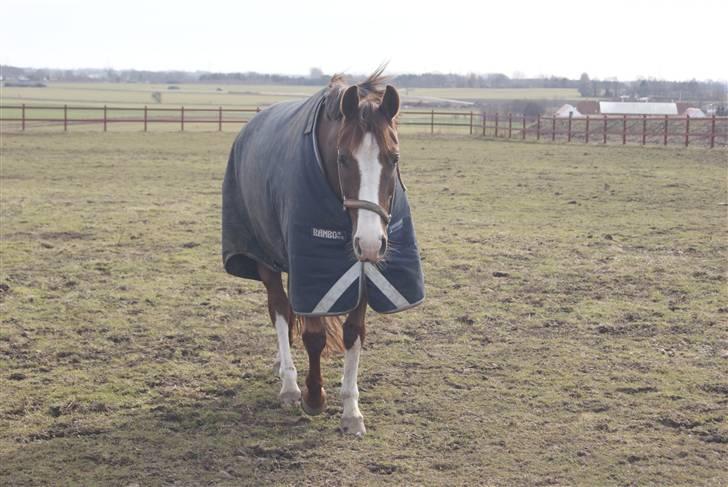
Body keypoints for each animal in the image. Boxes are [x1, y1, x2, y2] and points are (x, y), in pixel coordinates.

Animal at [222, 68, 424, 435]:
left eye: (394, 158)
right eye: (343, 158)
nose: (371, 242)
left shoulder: (360, 271)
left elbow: (353, 334)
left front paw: (352, 411)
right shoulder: (314, 270)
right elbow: (313, 336)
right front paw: (313, 397)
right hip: (266, 260)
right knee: (279, 310)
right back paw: (289, 383)